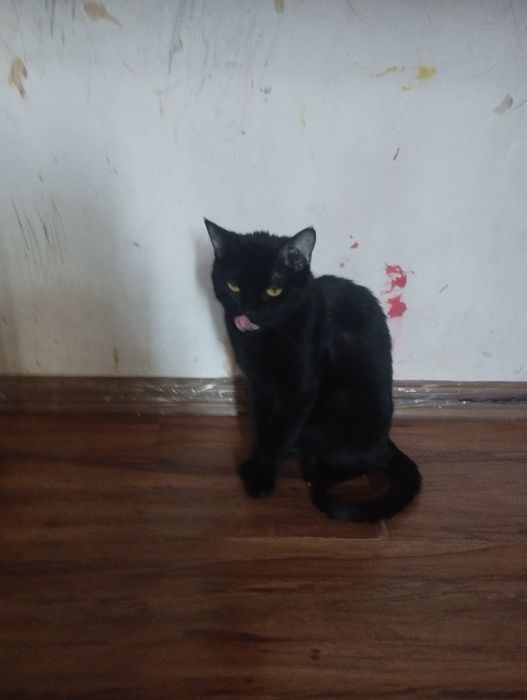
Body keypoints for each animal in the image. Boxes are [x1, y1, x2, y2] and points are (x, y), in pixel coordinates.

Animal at [205, 219, 421, 522]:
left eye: (274, 290)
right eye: (233, 286)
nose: (248, 311)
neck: (263, 339)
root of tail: (385, 440)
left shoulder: (300, 388)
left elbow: (280, 432)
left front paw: (262, 478)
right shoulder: (258, 385)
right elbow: (261, 427)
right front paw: (254, 463)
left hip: (344, 406)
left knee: (370, 459)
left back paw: (317, 472)